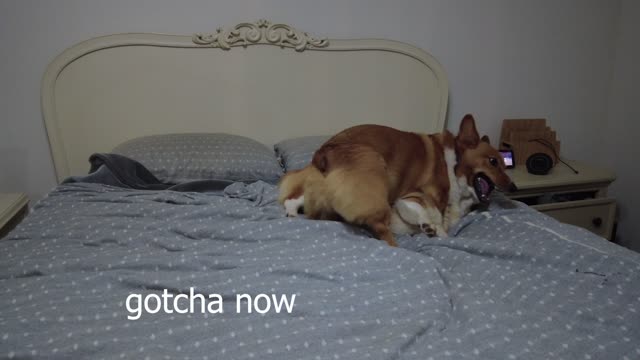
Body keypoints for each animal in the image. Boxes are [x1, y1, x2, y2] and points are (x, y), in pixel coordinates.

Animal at [276, 114, 516, 246]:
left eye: (506, 165)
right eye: (493, 161)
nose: (513, 187)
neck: (453, 164)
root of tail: (322, 153)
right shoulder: (412, 196)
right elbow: (429, 215)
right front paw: (432, 228)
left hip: (317, 189)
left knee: (294, 200)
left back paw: (293, 214)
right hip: (373, 171)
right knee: (380, 226)